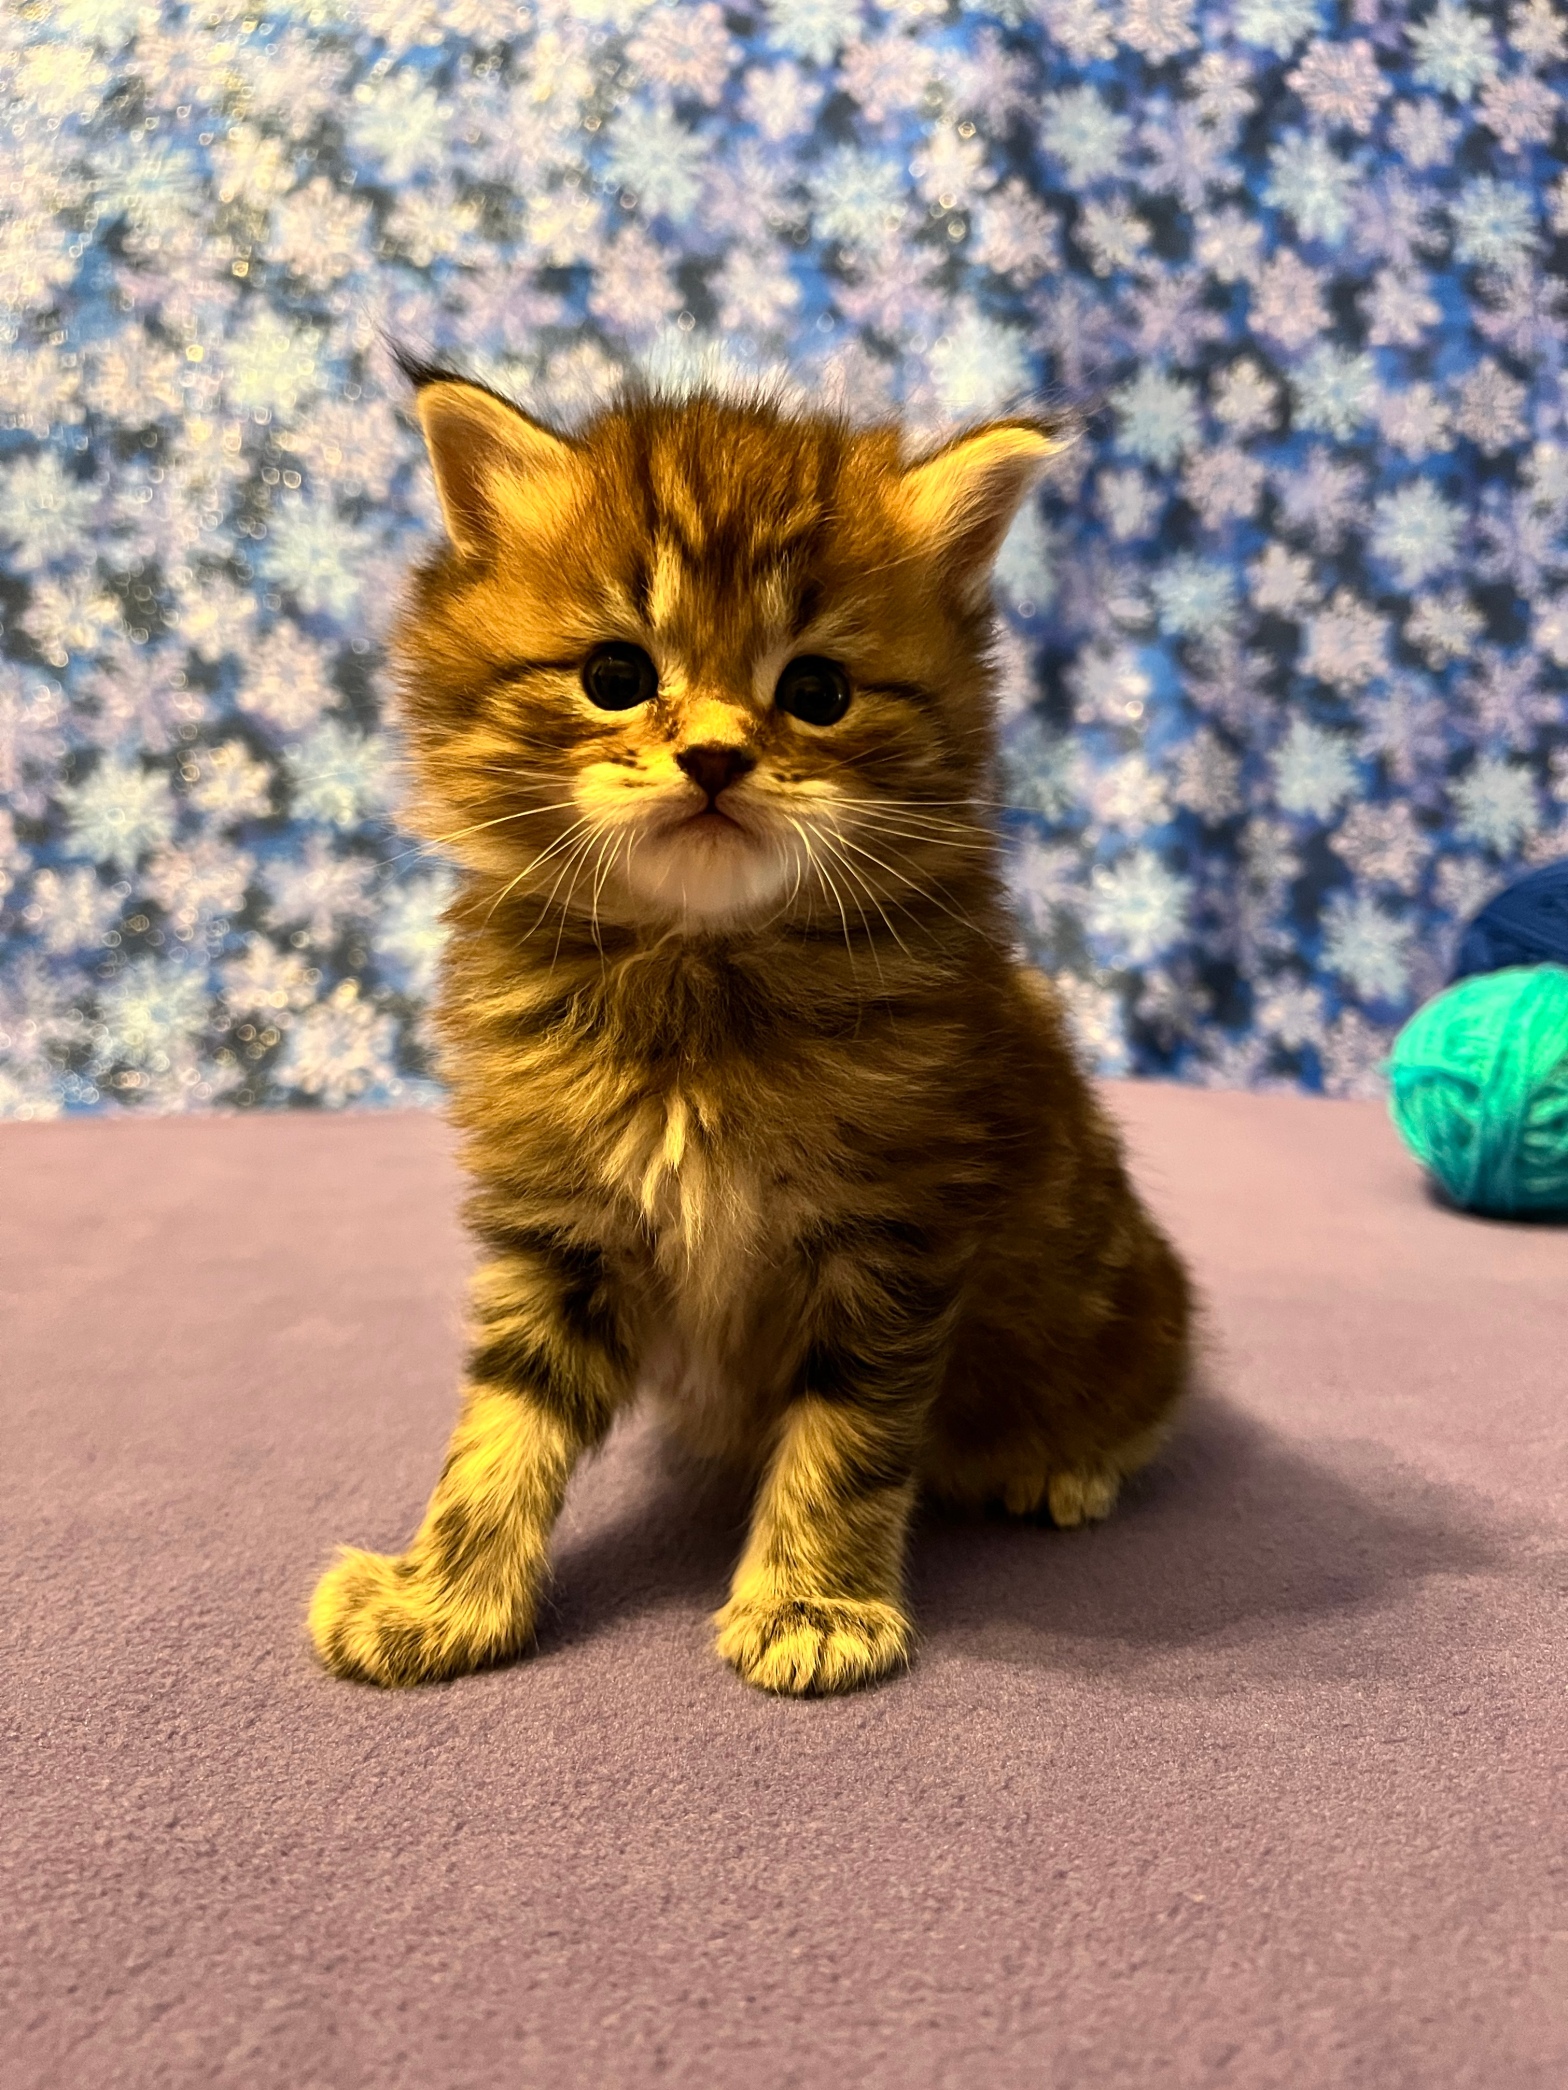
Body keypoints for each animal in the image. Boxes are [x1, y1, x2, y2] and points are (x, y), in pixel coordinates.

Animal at [303, 376, 1187, 1697]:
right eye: (616, 673)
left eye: (815, 692)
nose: (715, 756)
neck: (699, 976)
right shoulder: (561, 1223)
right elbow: (503, 1423)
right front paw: (442, 1596)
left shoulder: (892, 1234)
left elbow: (844, 1436)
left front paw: (812, 1602)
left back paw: (1062, 1464)